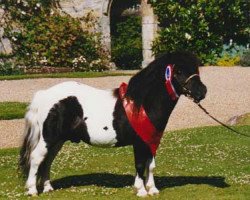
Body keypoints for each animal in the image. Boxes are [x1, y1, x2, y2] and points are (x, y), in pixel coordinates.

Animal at [19, 51, 207, 197]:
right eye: (179, 71)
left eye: (195, 70)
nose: (202, 91)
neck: (143, 104)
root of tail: (44, 94)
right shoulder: (140, 142)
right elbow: (140, 165)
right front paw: (141, 190)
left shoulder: (151, 140)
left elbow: (151, 165)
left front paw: (152, 189)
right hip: (48, 138)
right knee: (36, 158)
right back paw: (32, 190)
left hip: (58, 140)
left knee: (47, 160)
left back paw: (48, 188)